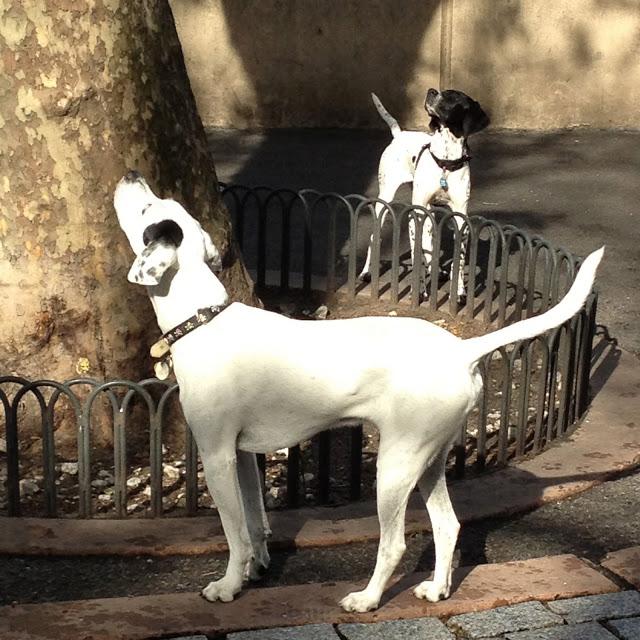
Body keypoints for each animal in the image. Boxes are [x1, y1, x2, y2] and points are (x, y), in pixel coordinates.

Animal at [114, 172, 600, 612]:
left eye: (147, 209)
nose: (131, 175)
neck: (204, 319)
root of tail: (462, 349)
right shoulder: (243, 456)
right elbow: (255, 524)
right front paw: (256, 570)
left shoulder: (217, 456)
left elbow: (235, 533)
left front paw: (228, 585)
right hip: (429, 462)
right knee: (448, 526)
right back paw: (436, 589)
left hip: (396, 467)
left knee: (395, 544)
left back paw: (367, 599)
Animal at [360, 89, 490, 302]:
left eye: (453, 97)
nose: (431, 91)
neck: (445, 162)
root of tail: (399, 134)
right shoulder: (416, 215)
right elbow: (416, 256)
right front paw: (419, 290)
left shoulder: (459, 217)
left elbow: (459, 259)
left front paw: (459, 290)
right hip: (385, 201)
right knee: (374, 238)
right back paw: (365, 272)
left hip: (430, 212)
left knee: (429, 245)